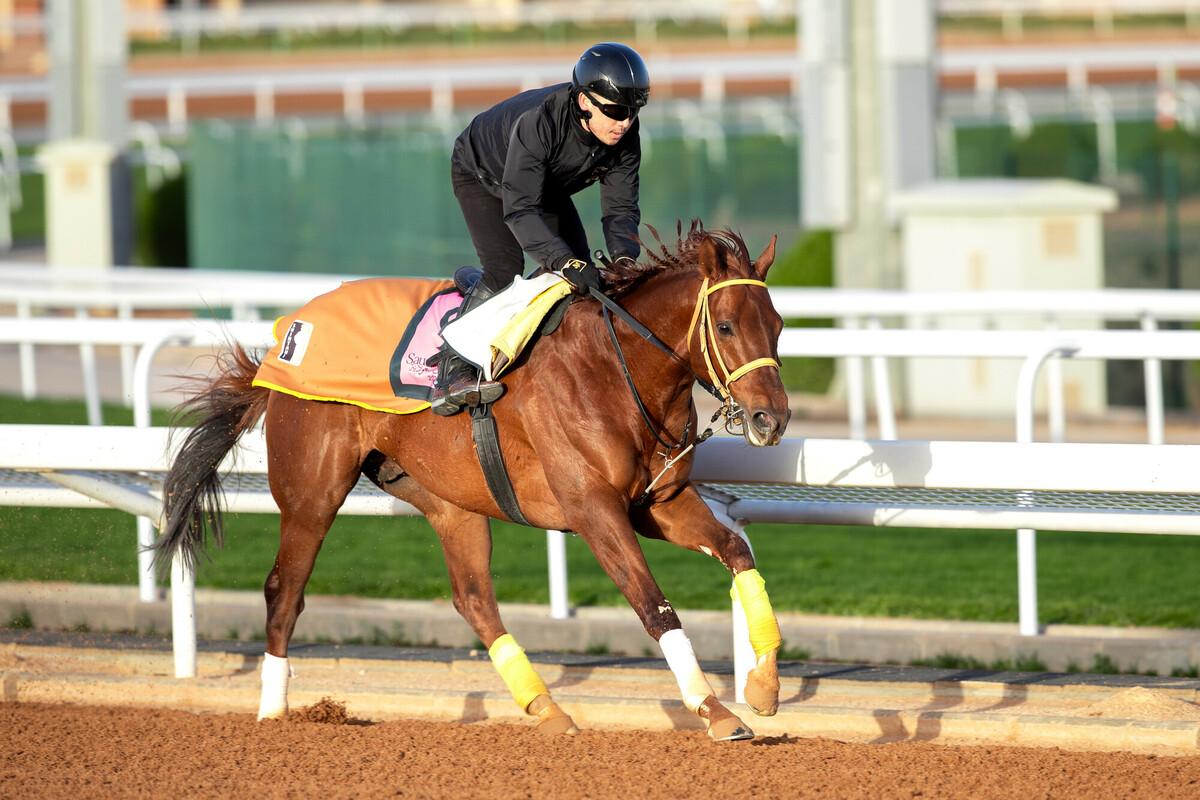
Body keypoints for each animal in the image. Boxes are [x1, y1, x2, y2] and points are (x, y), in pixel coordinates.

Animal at [153, 222, 791, 742]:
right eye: (726, 325)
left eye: (780, 326)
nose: (772, 419)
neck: (616, 368)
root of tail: (284, 338)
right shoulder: (593, 509)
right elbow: (654, 605)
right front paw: (715, 711)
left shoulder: (656, 501)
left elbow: (737, 550)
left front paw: (761, 686)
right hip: (313, 491)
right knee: (284, 588)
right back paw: (273, 712)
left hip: (447, 499)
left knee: (474, 599)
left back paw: (546, 709)